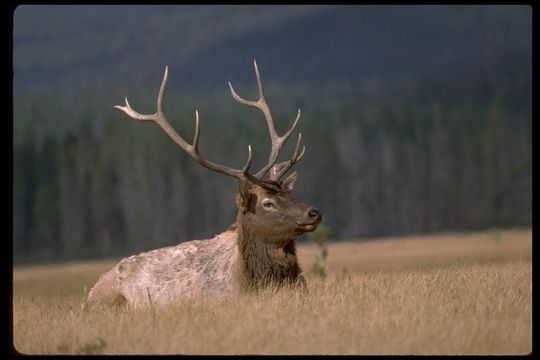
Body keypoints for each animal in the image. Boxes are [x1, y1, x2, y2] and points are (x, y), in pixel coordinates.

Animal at [84, 62, 320, 310]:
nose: (314, 212)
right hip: (109, 300)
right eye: (268, 203)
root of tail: (90, 292)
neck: (247, 279)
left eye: (290, 194)